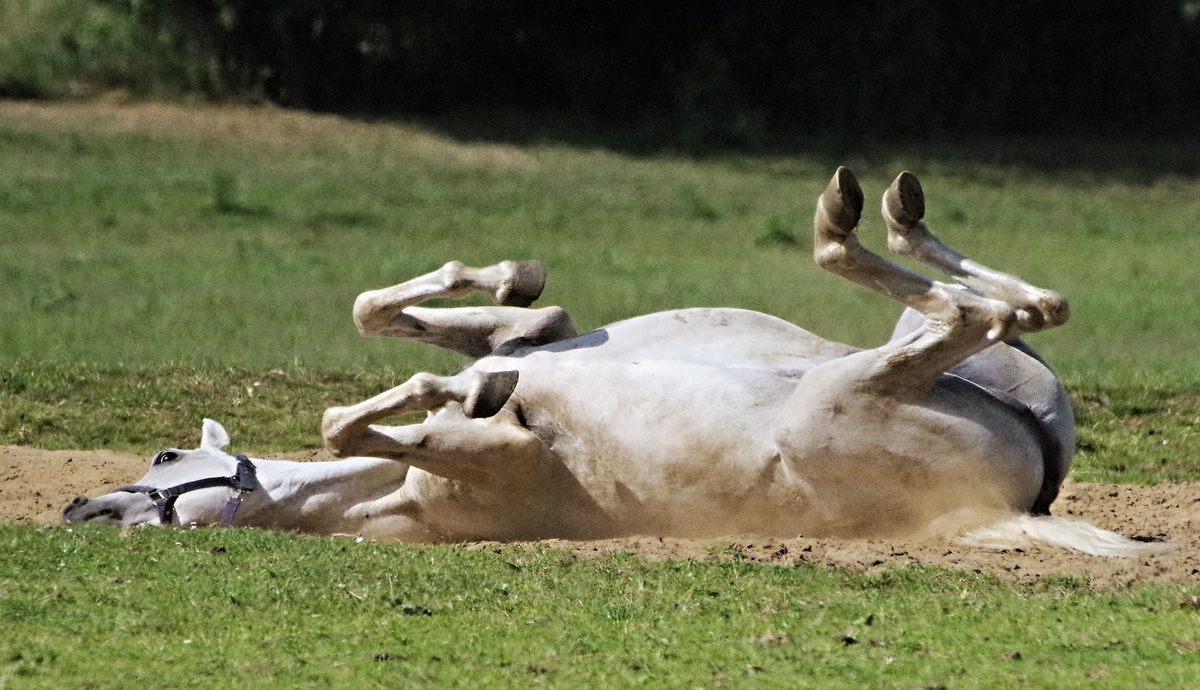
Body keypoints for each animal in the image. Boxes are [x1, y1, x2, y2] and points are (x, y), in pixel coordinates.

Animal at [60, 170, 1156, 559]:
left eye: (164, 457)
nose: (80, 509)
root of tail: (1023, 500)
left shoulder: (537, 343)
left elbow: (412, 324)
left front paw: (489, 319)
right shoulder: (495, 468)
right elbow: (366, 405)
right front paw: (465, 390)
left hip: (898, 366)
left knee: (1007, 308)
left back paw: (874, 210)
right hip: (854, 392)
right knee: (990, 312)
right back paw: (867, 214)